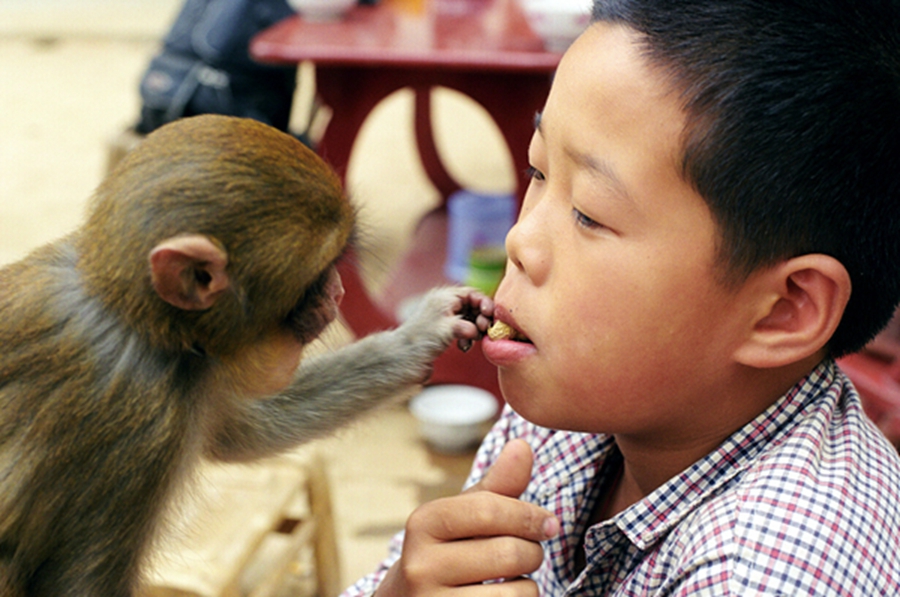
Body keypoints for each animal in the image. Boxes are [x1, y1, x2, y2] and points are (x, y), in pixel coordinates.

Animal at [0, 115, 492, 596]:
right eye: (319, 275)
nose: (337, 293)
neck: (141, 325)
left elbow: (238, 433)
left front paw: (422, 333)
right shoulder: (140, 423)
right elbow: (77, 588)